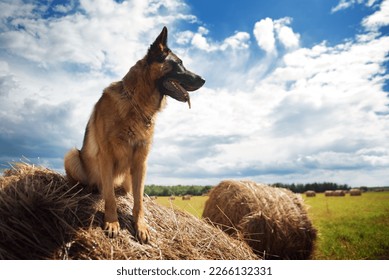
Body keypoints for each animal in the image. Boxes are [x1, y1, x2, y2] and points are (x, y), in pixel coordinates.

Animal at [64, 27, 203, 244]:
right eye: (179, 64)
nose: (204, 80)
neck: (136, 103)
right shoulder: (106, 156)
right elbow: (110, 198)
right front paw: (112, 222)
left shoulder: (141, 161)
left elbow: (139, 201)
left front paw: (141, 226)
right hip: (72, 156)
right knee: (89, 184)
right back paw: (87, 189)